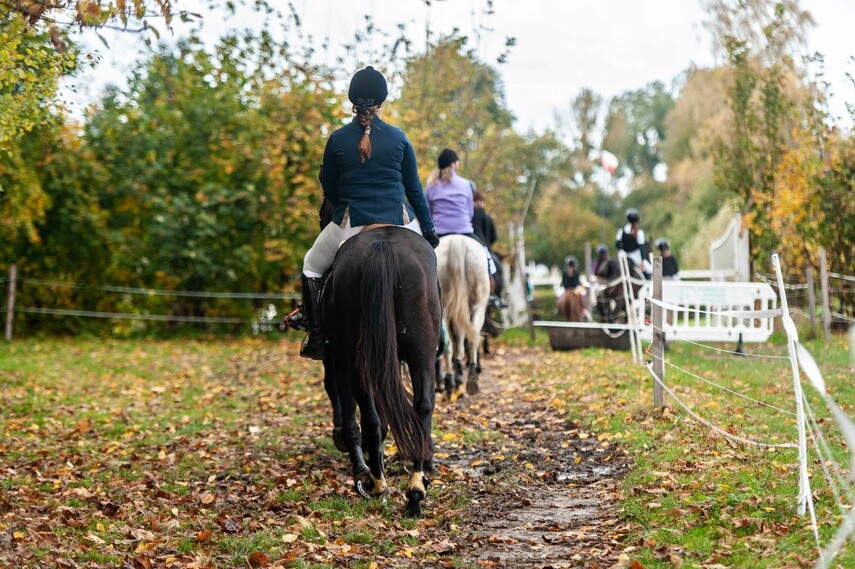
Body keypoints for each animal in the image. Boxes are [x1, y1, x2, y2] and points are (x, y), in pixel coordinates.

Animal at [320, 224, 442, 516]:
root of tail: (383, 245)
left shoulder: (338, 359)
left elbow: (349, 414)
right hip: (421, 352)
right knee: (422, 407)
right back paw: (415, 491)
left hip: (355, 357)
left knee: (370, 417)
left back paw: (376, 482)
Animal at [438, 234, 492, 394]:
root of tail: (457, 241)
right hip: (477, 305)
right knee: (472, 337)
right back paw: (470, 378)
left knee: (451, 344)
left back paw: (451, 381)